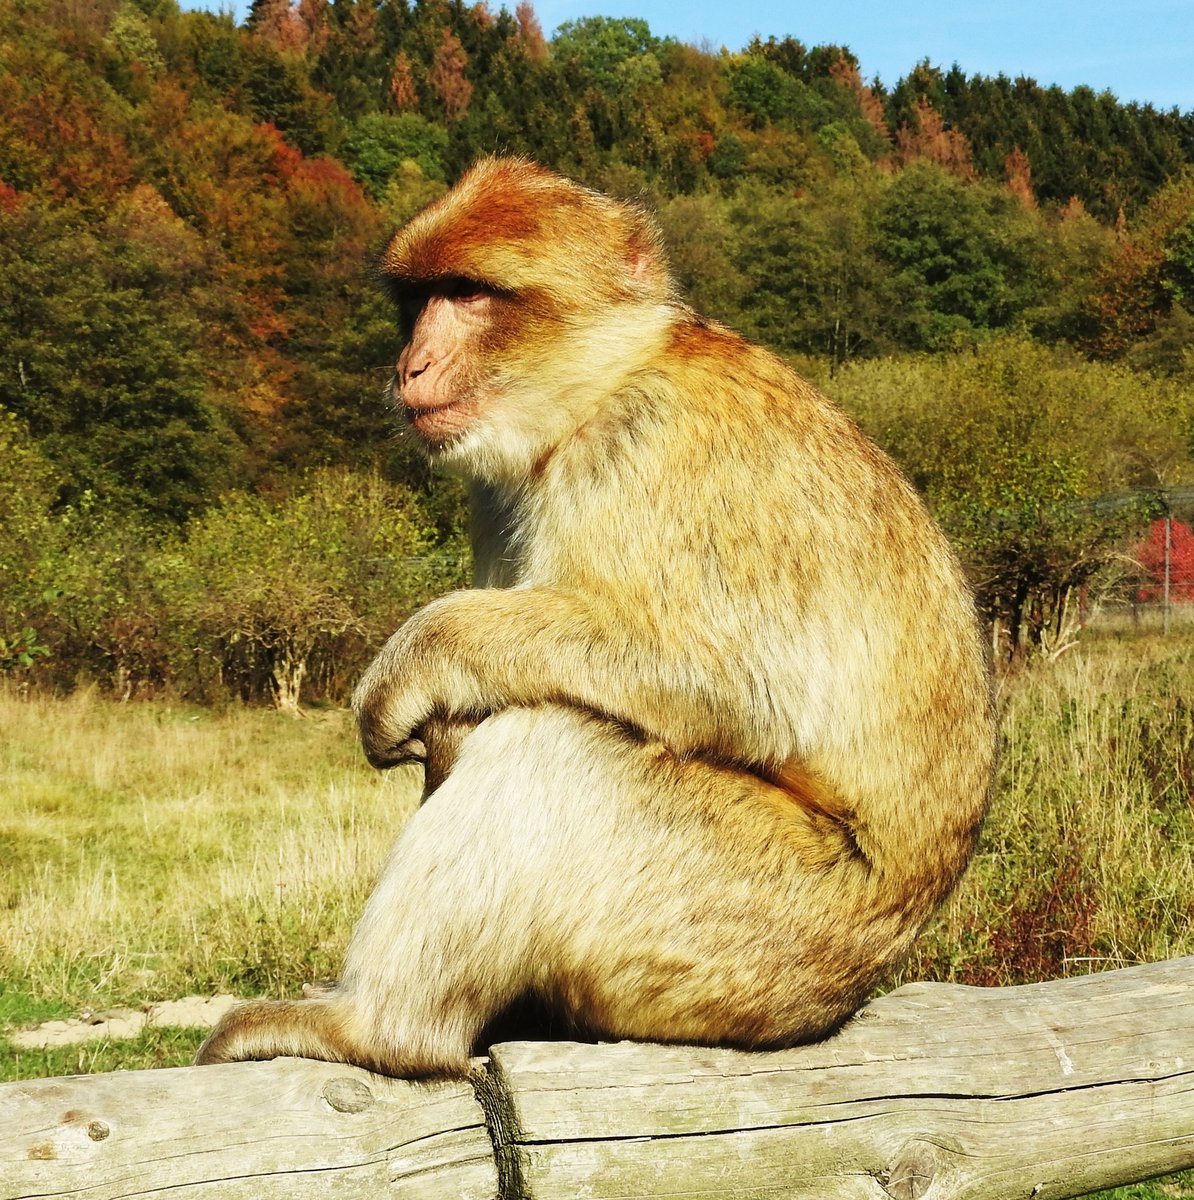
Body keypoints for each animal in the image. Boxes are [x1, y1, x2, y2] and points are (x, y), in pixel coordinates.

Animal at [198, 157, 998, 1080]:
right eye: (420, 297)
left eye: (470, 293)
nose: (411, 364)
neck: (599, 387)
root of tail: (844, 1000)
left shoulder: (646, 444)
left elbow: (737, 687)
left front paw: (418, 658)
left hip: (753, 936)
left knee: (558, 741)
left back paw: (378, 1029)